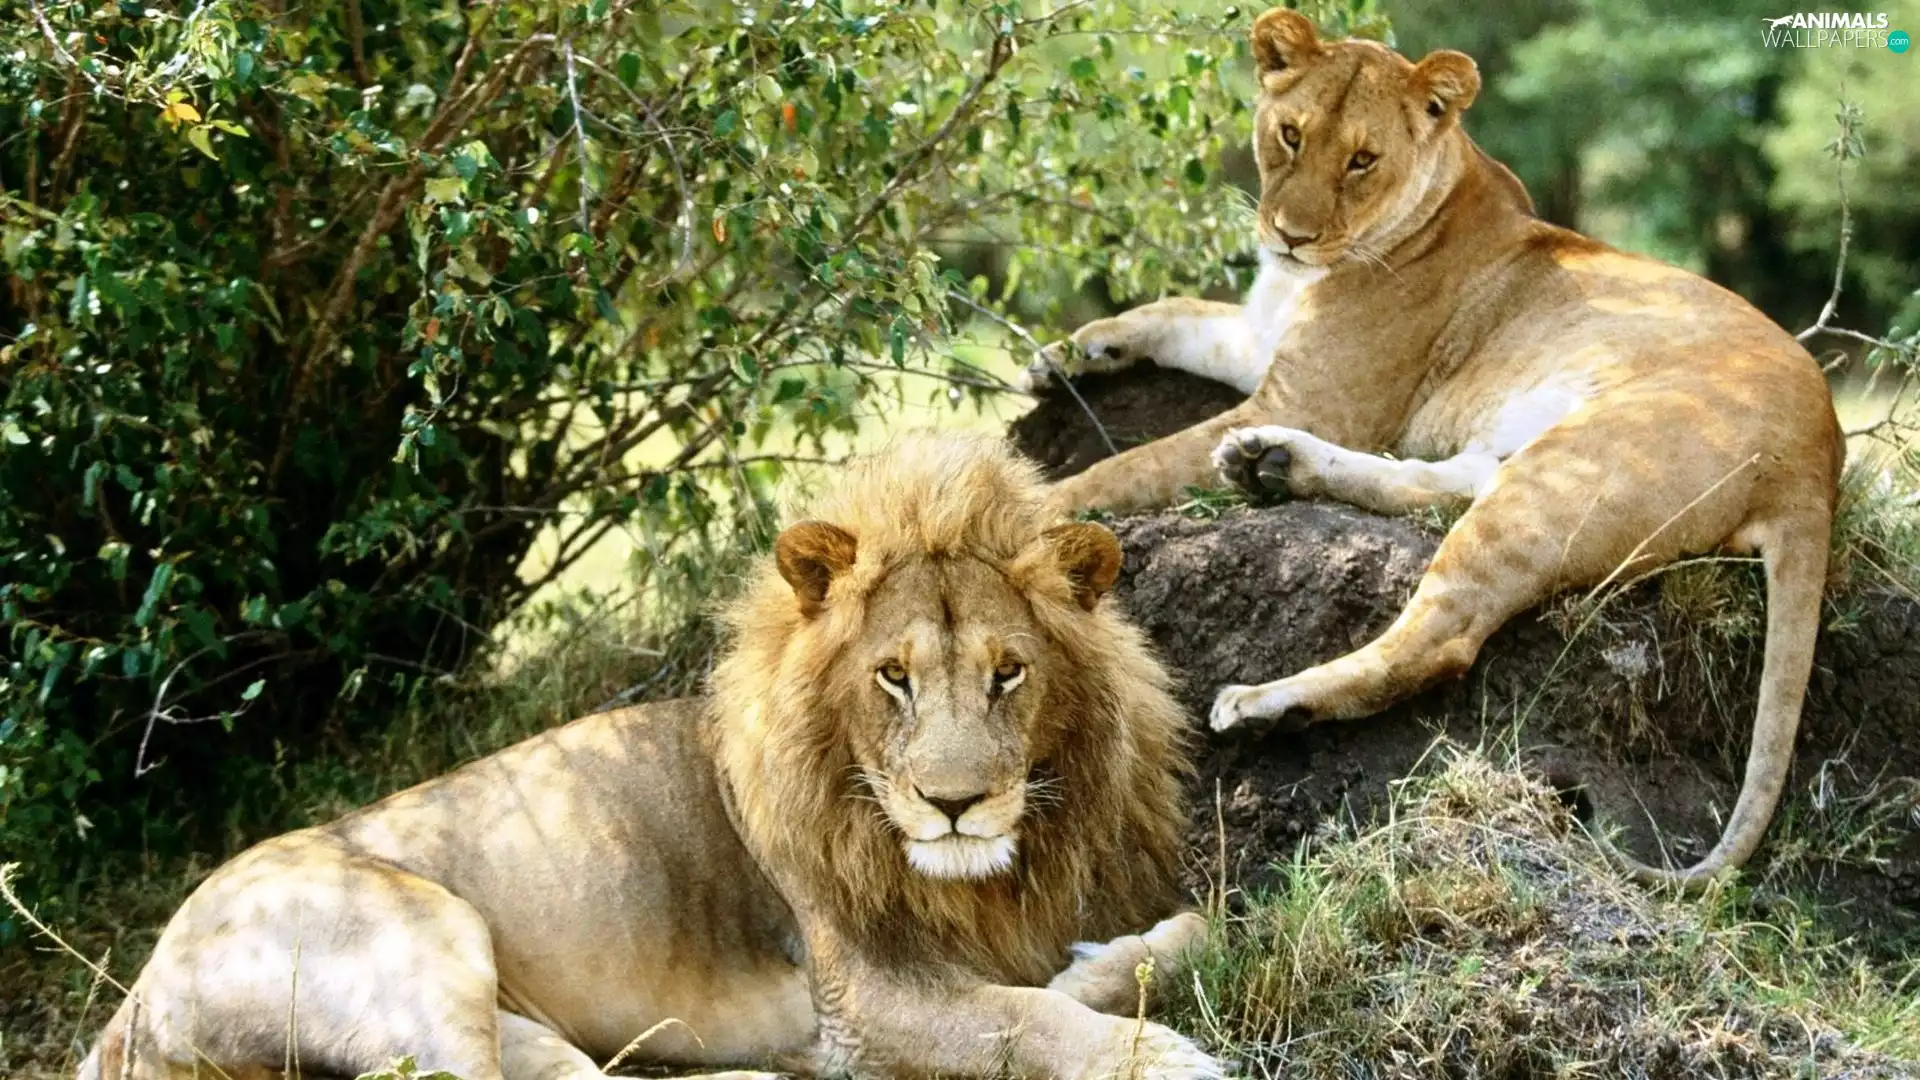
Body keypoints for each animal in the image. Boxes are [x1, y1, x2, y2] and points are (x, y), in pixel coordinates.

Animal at [78, 433, 1221, 1080]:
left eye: (1009, 674)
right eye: (892, 676)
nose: (956, 804)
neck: (981, 878)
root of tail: (133, 1000)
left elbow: (1177, 939)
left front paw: (1116, 962)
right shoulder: (860, 997)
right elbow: (1021, 1021)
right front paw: (1156, 1056)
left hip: (505, 1012)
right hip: (425, 934)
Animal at [1022, 9, 1843, 888]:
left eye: (1363, 160)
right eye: (1289, 135)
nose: (1290, 236)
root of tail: (1820, 457)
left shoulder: (1315, 398)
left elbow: (1129, 465)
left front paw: (1035, 505)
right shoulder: (1266, 346)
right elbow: (1172, 312)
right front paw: (1069, 352)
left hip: (1569, 470)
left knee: (1440, 636)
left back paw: (1265, 700)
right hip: (1526, 456)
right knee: (1443, 485)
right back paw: (1269, 465)